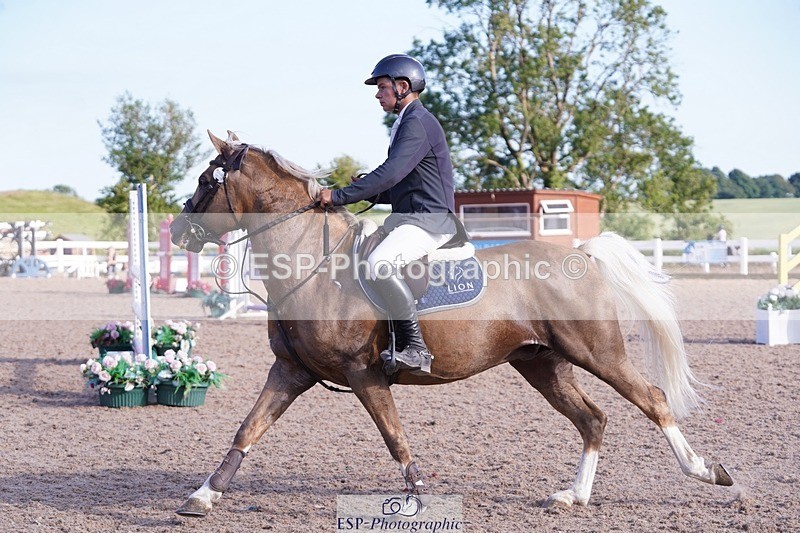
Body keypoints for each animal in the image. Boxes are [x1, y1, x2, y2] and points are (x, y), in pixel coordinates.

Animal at [169, 131, 733, 517]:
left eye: (206, 180)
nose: (176, 230)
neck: (314, 265)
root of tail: (580, 252)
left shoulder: (362, 373)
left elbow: (394, 436)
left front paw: (418, 496)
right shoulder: (290, 371)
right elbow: (248, 427)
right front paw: (202, 495)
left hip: (598, 352)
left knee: (652, 400)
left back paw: (706, 470)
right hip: (543, 363)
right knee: (592, 419)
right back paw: (573, 496)